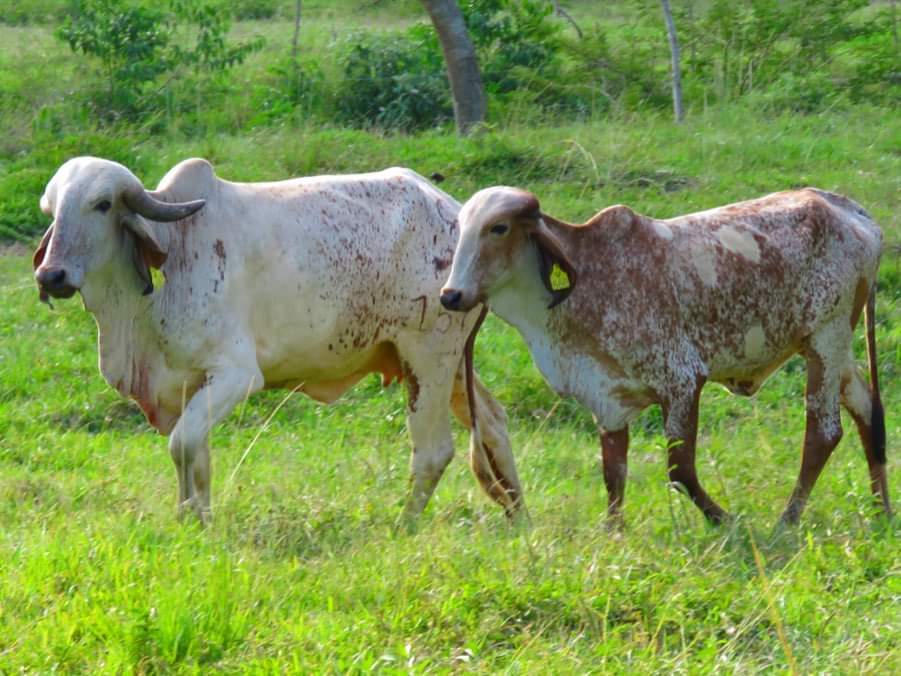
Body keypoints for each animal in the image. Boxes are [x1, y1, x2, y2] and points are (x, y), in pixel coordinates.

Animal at [33, 157, 523, 525]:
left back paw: (403, 526)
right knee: (493, 424)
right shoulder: (189, 387)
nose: (50, 275)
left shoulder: (236, 374)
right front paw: (198, 519)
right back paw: (519, 518)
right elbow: (197, 457)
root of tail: (455, 213)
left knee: (433, 451)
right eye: (53, 210)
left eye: (101, 204)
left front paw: (191, 517)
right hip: (448, 365)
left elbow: (181, 446)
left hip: (428, 358)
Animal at [439, 185, 890, 526]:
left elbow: (679, 470)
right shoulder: (606, 400)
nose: (451, 295)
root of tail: (849, 209)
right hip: (831, 348)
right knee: (868, 410)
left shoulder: (682, 381)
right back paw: (880, 510)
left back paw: (788, 520)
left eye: (498, 228)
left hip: (826, 340)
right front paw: (614, 533)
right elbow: (613, 474)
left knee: (823, 433)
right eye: (459, 231)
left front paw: (726, 521)